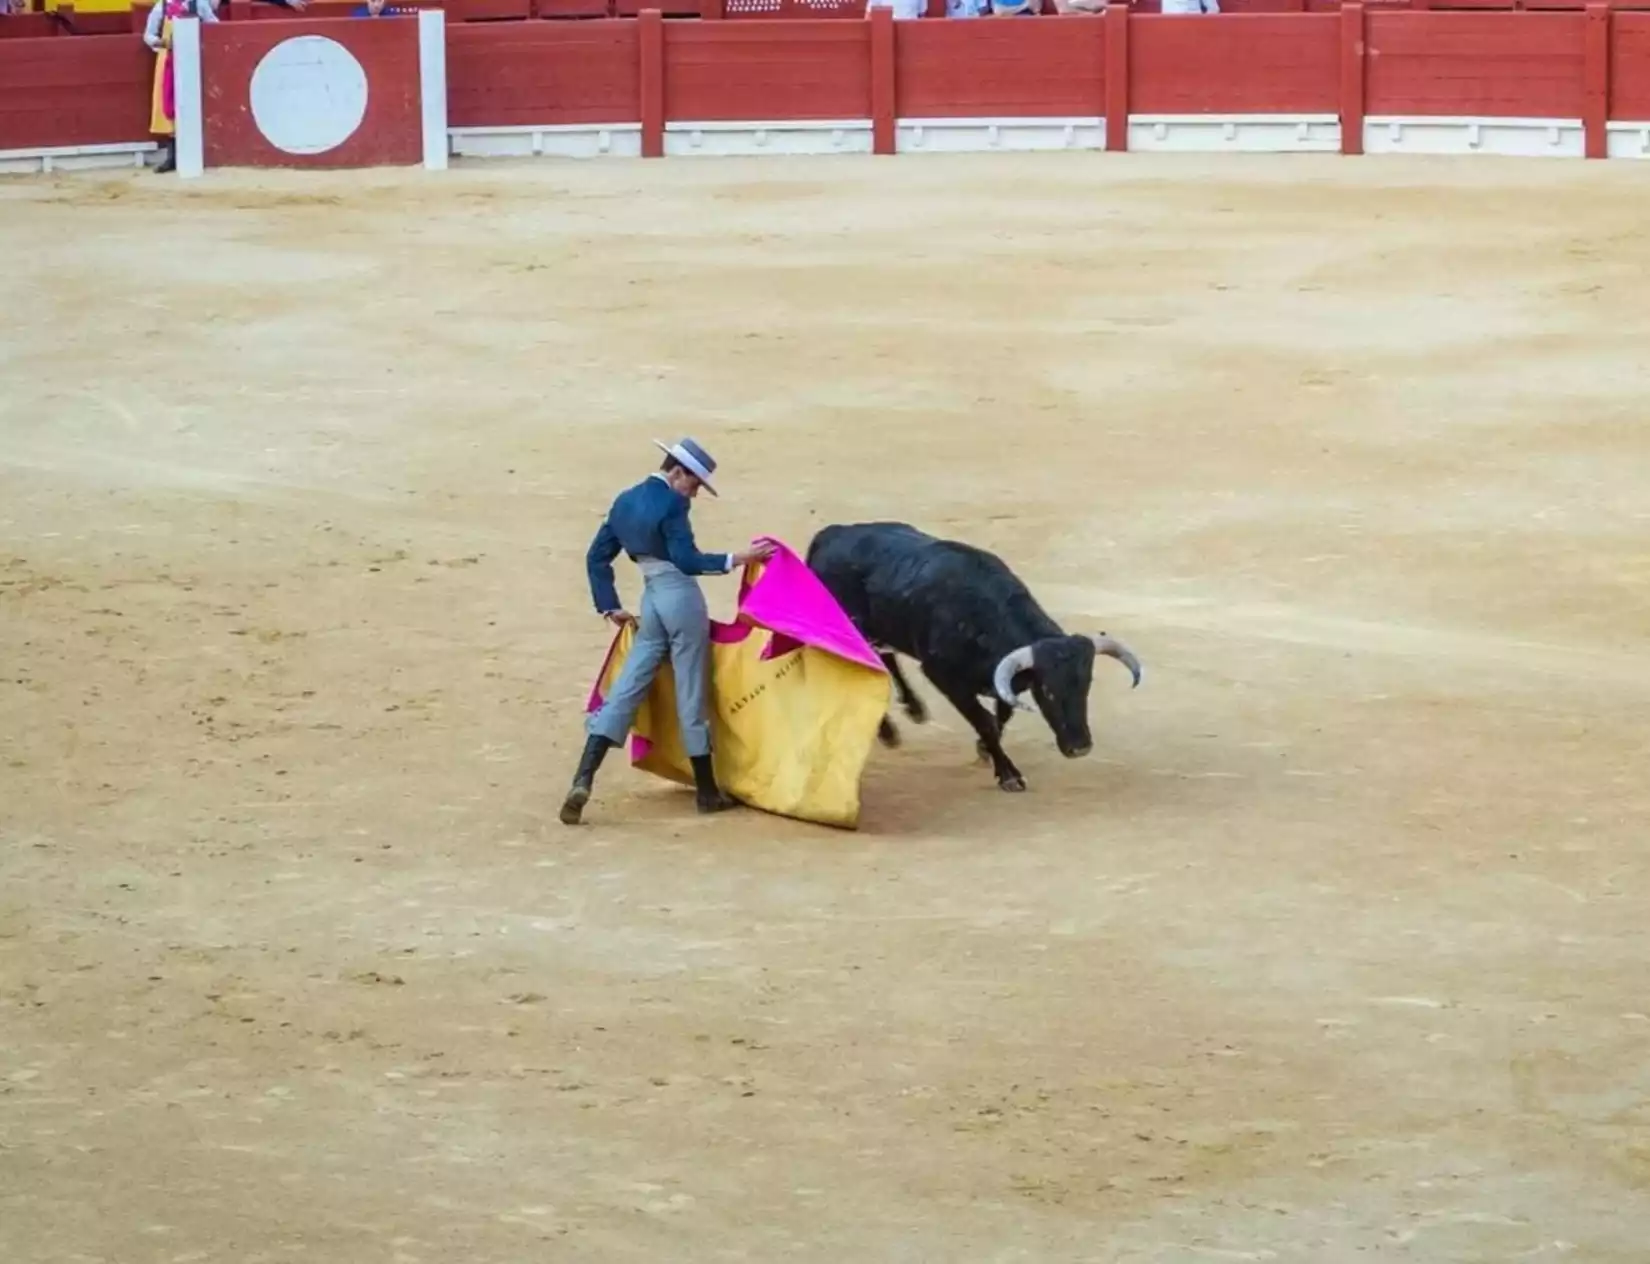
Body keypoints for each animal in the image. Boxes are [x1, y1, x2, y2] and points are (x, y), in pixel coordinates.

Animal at [805, 521, 1141, 792]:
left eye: (1087, 684)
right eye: (1047, 690)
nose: (1080, 748)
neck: (984, 619)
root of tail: (828, 535)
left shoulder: (1003, 680)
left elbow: (1002, 712)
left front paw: (984, 750)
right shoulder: (944, 677)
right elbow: (986, 721)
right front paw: (1008, 775)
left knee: (885, 660)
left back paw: (914, 708)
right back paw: (888, 732)